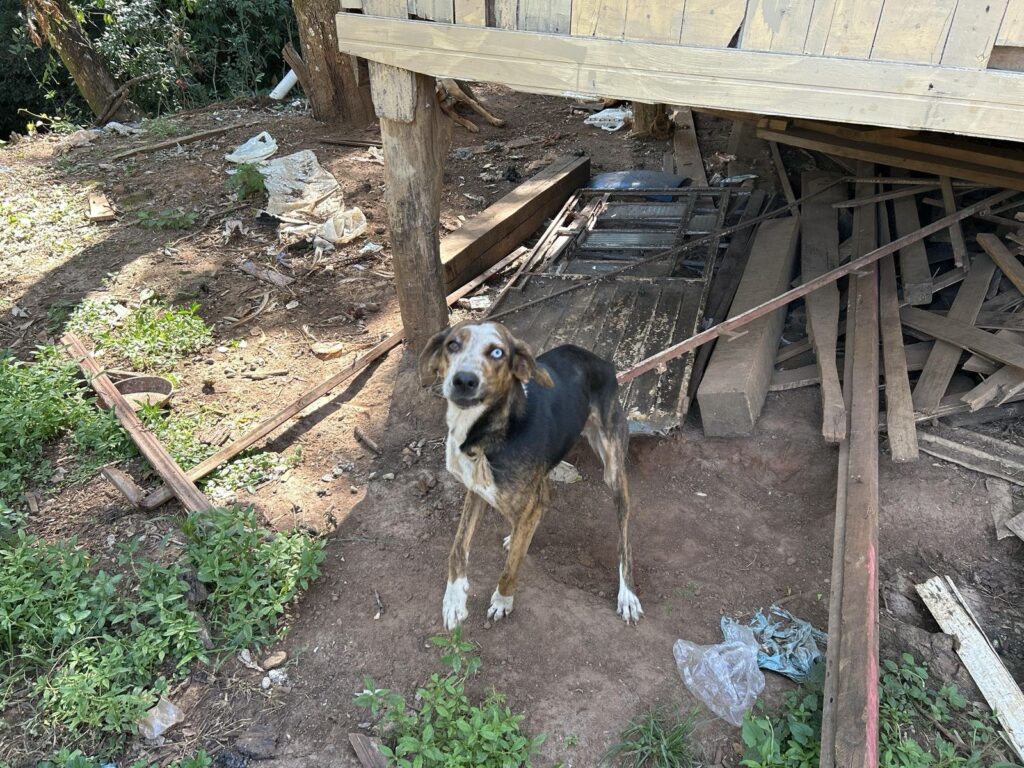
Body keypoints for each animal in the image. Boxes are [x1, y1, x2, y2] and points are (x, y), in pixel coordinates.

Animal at [415, 319, 638, 630]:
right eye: (452, 345)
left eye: (497, 352)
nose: (464, 380)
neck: (489, 434)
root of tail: (602, 361)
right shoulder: (476, 491)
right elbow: (457, 547)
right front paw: (454, 599)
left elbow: (510, 567)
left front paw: (502, 600)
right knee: (544, 498)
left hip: (613, 469)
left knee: (624, 536)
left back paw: (627, 593)